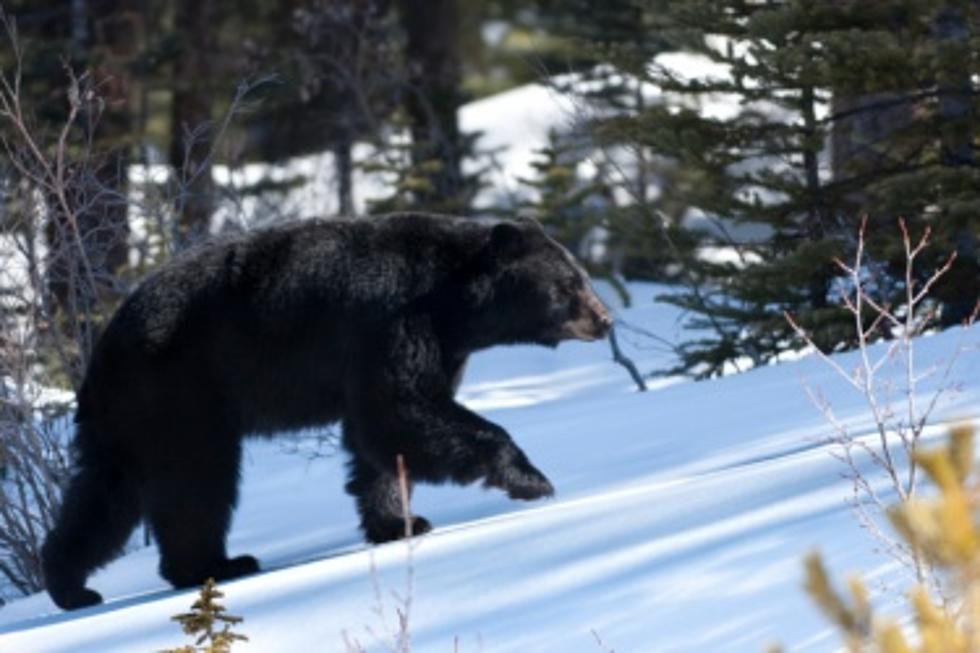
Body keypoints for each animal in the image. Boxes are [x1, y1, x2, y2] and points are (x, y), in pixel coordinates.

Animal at [42, 211, 608, 608]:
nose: (604, 319)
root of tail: (101, 352)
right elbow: (402, 409)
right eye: (568, 284)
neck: (453, 303)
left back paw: (69, 583)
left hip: (128, 418)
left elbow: (376, 439)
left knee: (105, 495)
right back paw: (215, 564)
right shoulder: (391, 319)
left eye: (582, 275)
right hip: (179, 391)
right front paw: (531, 479)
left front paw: (400, 521)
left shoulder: (436, 345)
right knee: (195, 480)